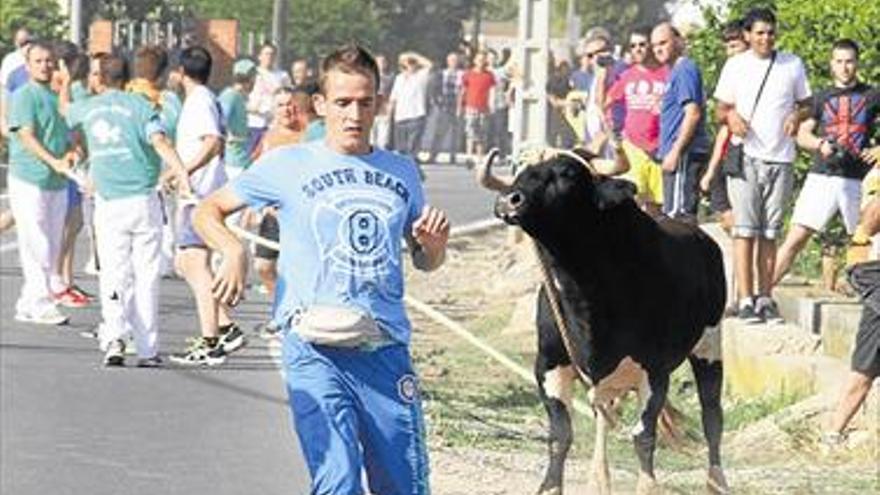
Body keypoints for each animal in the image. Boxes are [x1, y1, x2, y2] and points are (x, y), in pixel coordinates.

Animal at [488, 152, 728, 495]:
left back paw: (716, 480)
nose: (509, 200)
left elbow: (643, 437)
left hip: (710, 343)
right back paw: (599, 478)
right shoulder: (548, 364)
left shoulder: (655, 370)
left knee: (712, 416)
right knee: (602, 412)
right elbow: (560, 436)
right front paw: (551, 486)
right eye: (521, 172)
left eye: (566, 174)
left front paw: (647, 486)